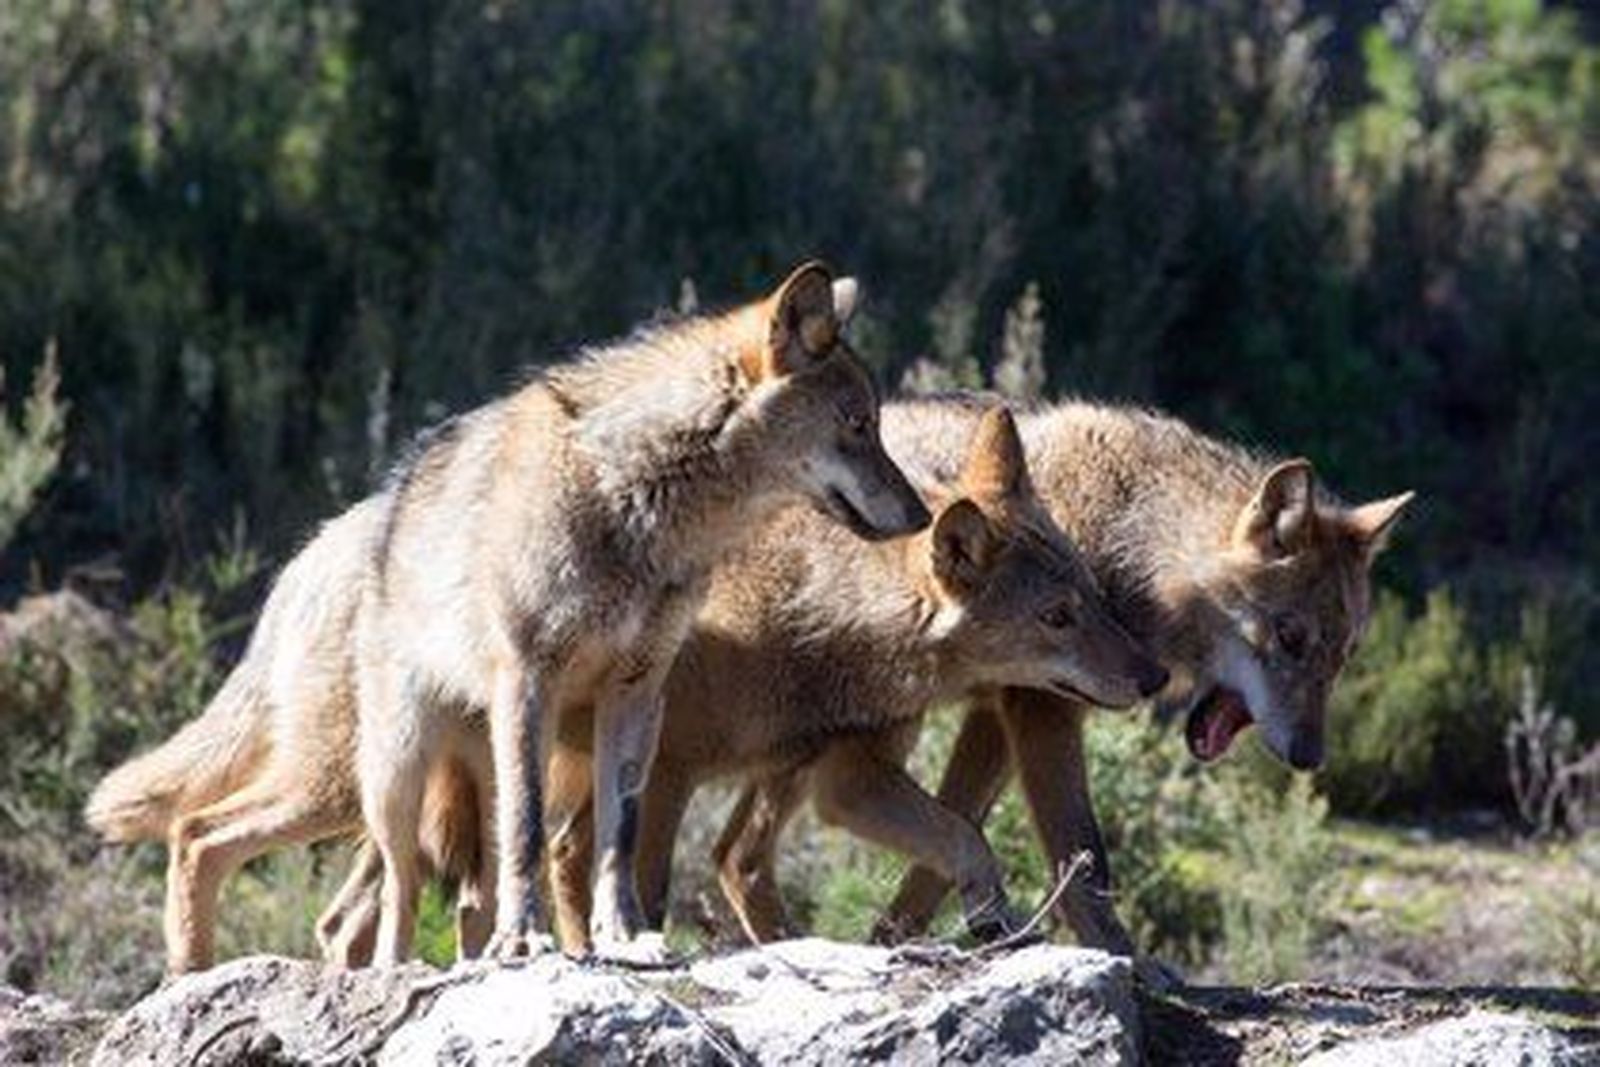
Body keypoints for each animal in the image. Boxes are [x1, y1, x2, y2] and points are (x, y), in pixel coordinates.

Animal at [87, 263, 929, 971]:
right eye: (858, 424)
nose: (924, 515)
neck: (635, 501)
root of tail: (312, 553)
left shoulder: (637, 694)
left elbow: (618, 838)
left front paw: (625, 937)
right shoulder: (530, 679)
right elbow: (528, 833)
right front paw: (524, 942)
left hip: (430, 781)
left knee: (384, 898)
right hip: (377, 777)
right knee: (223, 843)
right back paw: (233, 977)